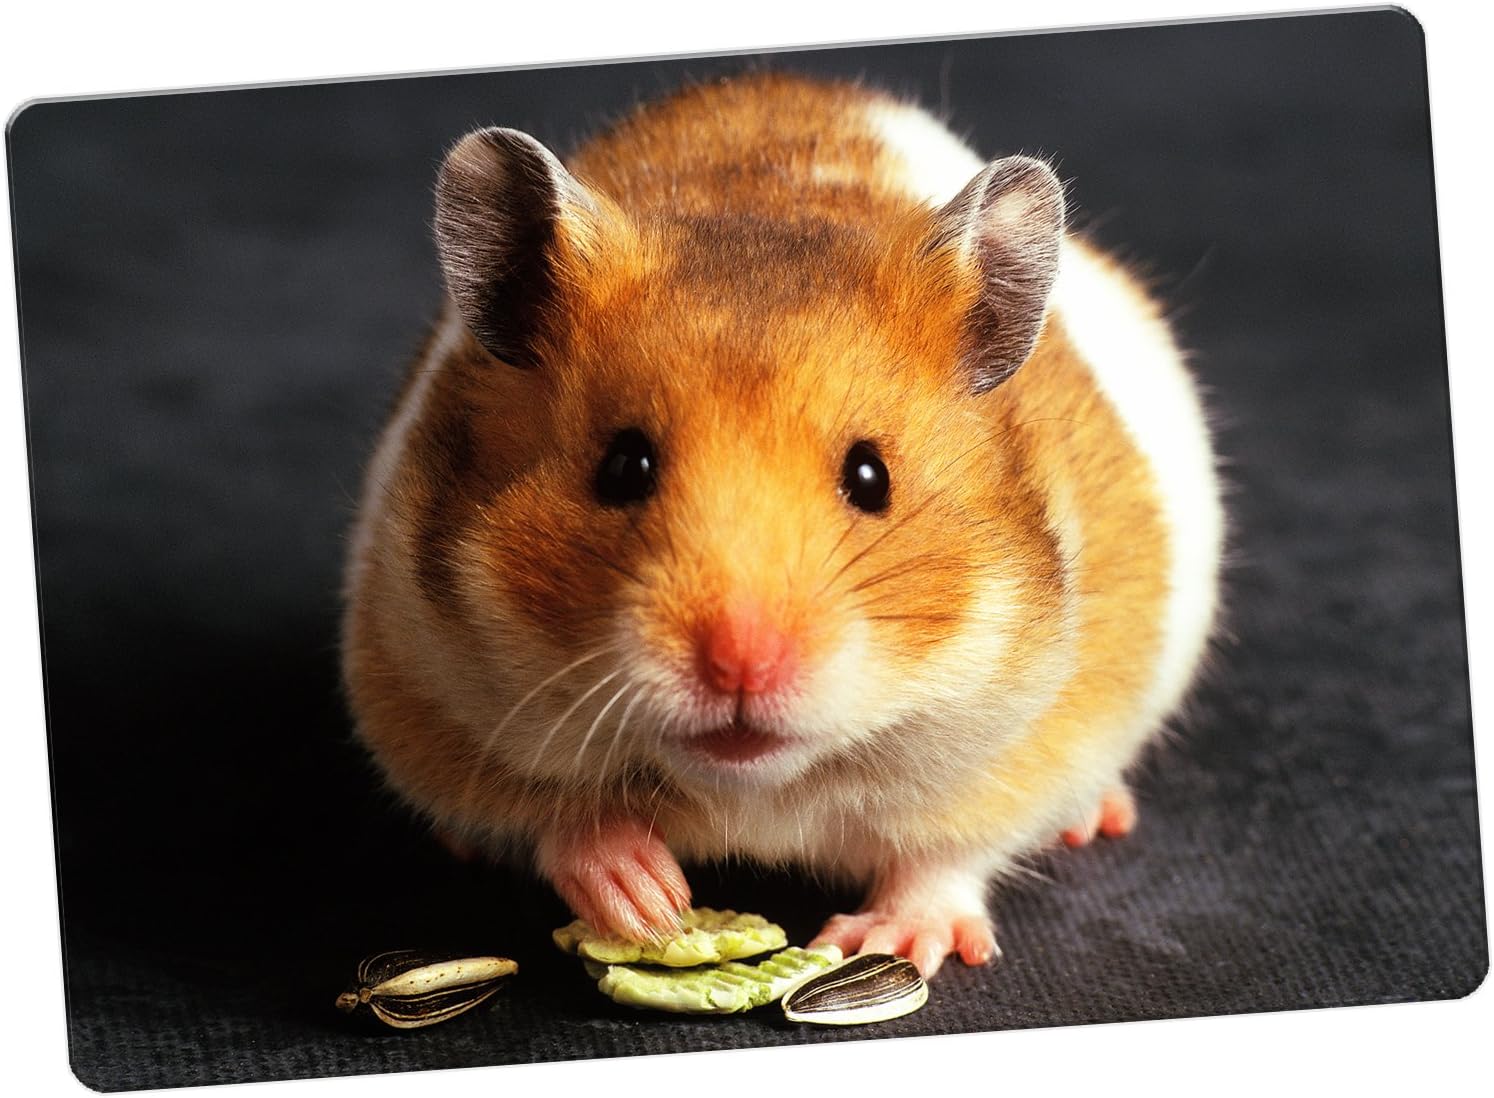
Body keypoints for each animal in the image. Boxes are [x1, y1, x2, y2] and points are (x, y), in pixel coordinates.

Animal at [341, 73, 1223, 978]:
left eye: (871, 477)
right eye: (623, 466)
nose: (741, 664)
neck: (754, 785)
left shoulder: (1038, 740)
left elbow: (947, 857)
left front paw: (885, 943)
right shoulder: (419, 687)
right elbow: (555, 817)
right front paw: (646, 901)